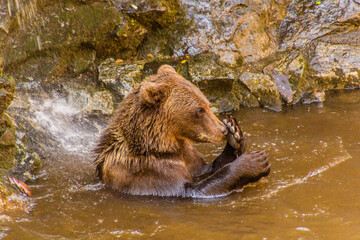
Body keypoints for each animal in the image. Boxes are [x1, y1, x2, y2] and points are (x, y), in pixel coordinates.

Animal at [94, 64, 268, 197]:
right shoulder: (153, 169)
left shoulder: (189, 157)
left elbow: (207, 168)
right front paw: (255, 161)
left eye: (207, 104)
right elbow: (190, 190)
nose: (223, 131)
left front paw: (235, 133)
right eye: (199, 110)